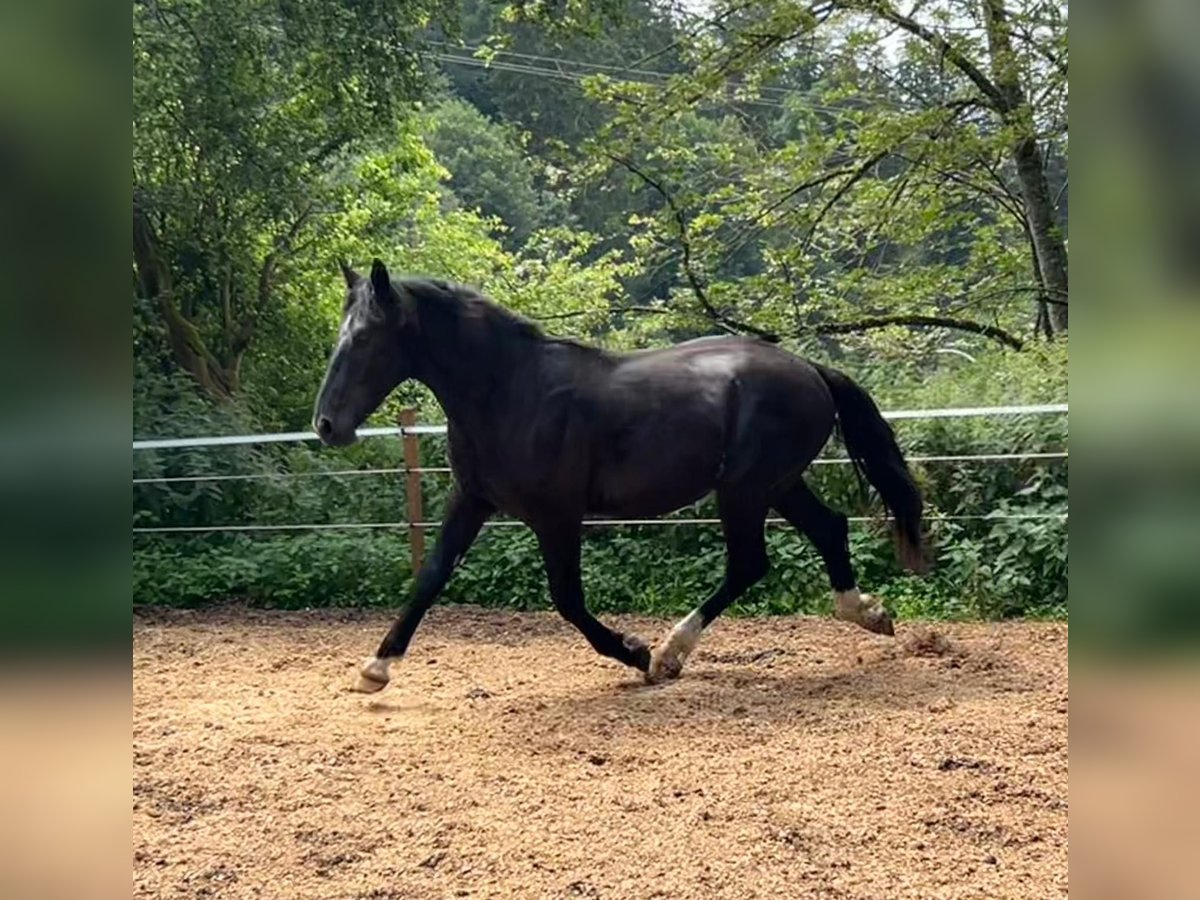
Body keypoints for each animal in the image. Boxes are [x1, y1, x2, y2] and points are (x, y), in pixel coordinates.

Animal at [314, 260, 921, 691]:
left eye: (364, 337)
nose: (326, 425)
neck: (510, 391)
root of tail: (811, 369)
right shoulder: (473, 500)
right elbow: (432, 575)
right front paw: (375, 668)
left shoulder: (557, 516)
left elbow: (567, 599)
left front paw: (635, 651)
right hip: (777, 484)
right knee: (828, 529)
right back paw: (869, 613)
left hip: (745, 488)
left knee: (749, 562)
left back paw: (669, 654)